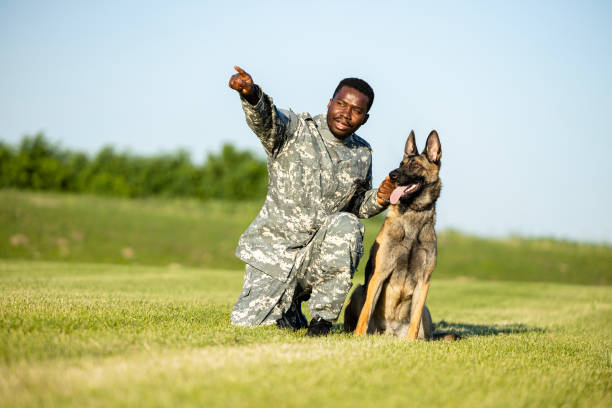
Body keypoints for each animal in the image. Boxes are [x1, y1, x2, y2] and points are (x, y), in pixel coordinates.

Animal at [344, 131, 454, 342]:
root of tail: (391, 332)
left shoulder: (423, 282)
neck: (412, 217)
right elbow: (366, 312)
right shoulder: (379, 274)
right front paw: (357, 337)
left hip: (426, 310)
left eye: (415, 165)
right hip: (358, 291)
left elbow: (415, 319)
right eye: (401, 164)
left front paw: (411, 342)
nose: (392, 175)